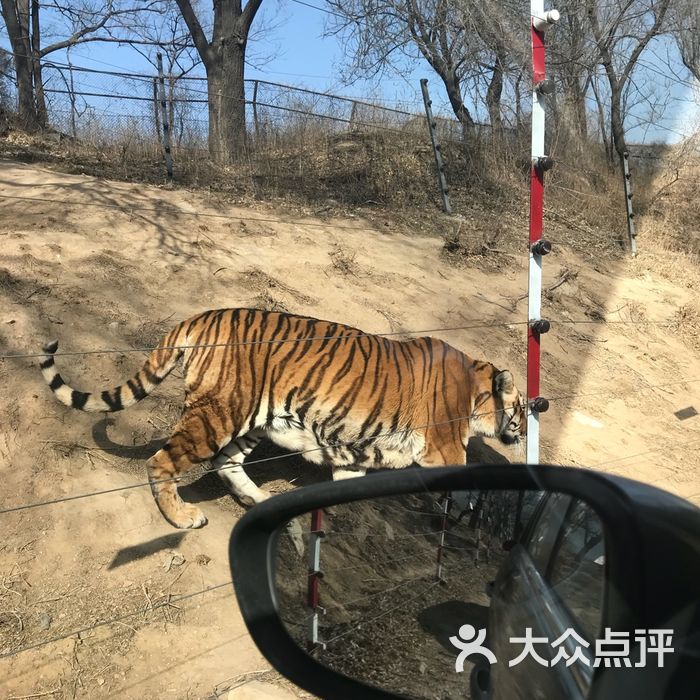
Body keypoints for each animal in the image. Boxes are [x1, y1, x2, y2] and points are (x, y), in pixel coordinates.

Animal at [37, 308, 520, 528]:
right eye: (520, 409)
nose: (524, 425)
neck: (475, 386)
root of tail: (202, 315)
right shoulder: (444, 449)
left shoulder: (355, 454)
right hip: (219, 413)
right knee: (161, 462)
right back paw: (182, 517)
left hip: (252, 420)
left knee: (227, 462)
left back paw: (258, 499)